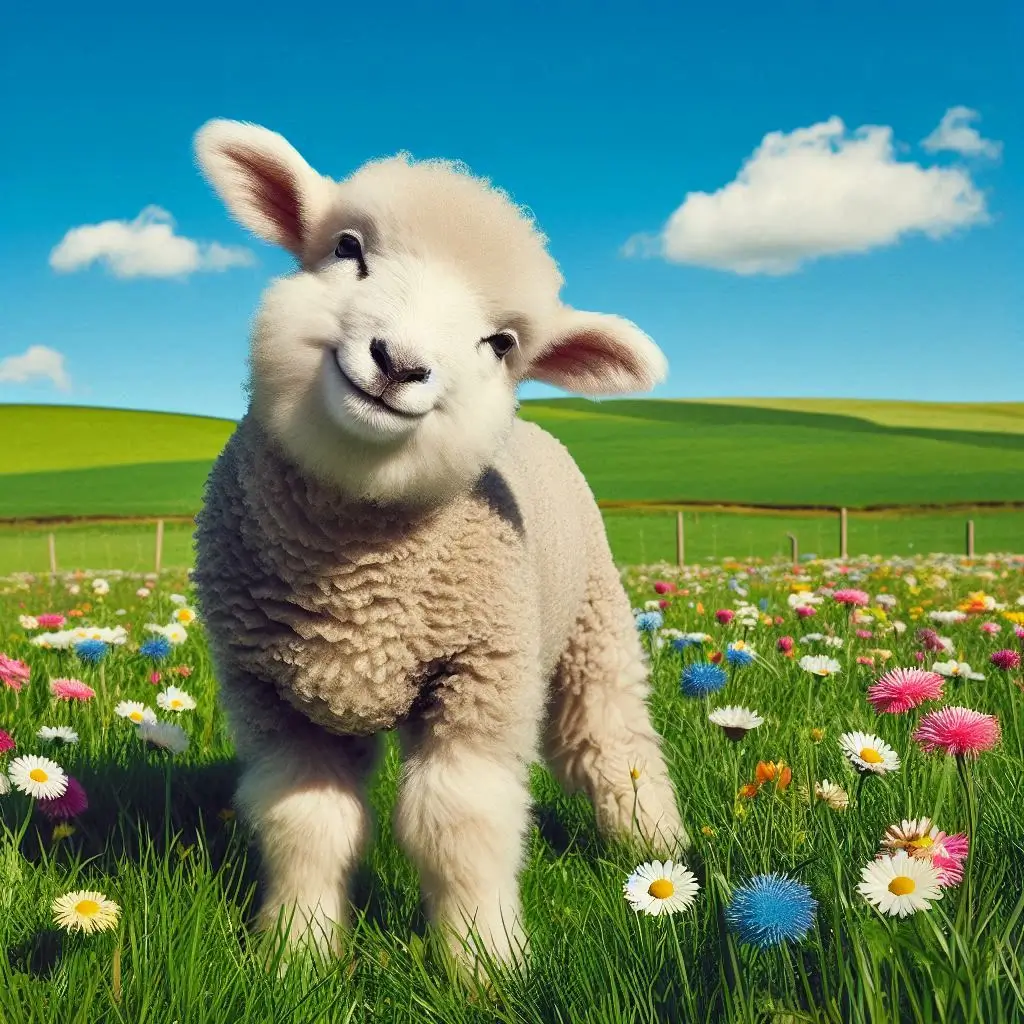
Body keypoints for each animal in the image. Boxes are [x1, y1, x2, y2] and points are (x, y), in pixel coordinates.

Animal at [189, 118, 689, 975]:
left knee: (612, 740)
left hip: (592, 626)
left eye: (502, 342)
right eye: (347, 248)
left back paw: (658, 846)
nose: (400, 364)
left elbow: (458, 823)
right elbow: (306, 823)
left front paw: (485, 964)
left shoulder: (481, 671)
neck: (354, 582)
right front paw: (296, 955)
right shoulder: (272, 696)